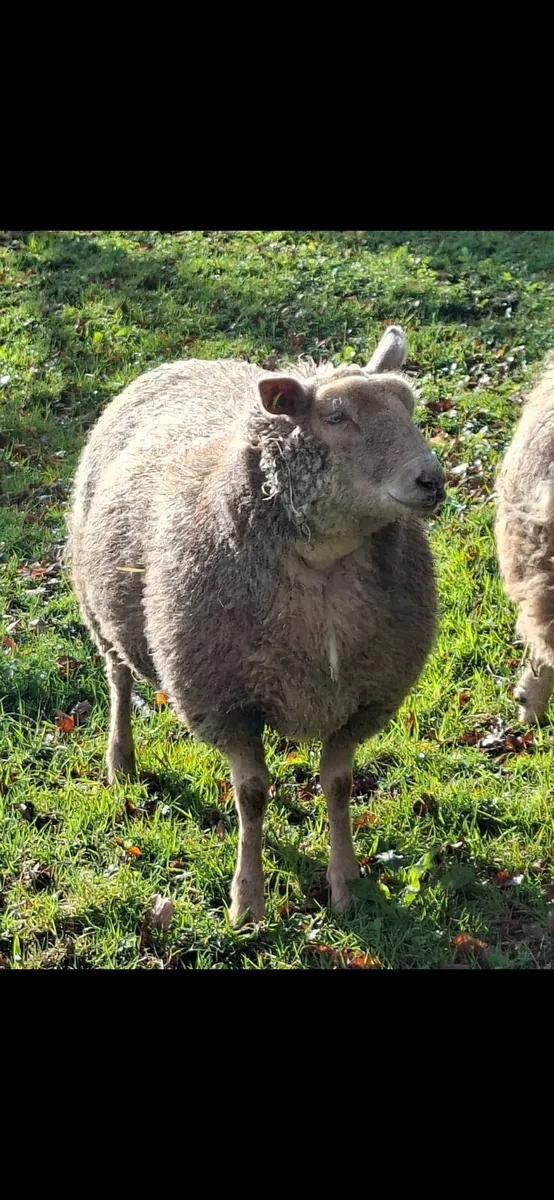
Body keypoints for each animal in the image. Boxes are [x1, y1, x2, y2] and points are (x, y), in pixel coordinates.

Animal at [68, 325, 446, 923]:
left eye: (409, 405)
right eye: (336, 416)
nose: (431, 480)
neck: (323, 568)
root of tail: (181, 361)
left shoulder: (363, 698)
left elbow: (338, 786)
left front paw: (345, 885)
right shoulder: (225, 701)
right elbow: (251, 796)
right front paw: (247, 901)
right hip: (99, 612)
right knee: (119, 680)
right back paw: (120, 761)